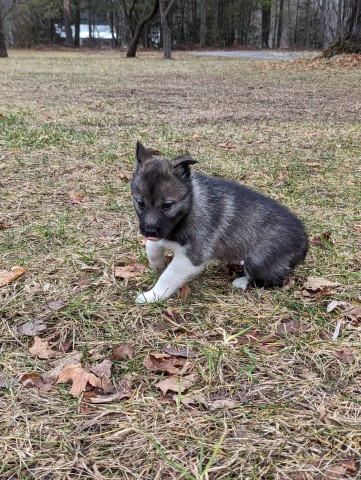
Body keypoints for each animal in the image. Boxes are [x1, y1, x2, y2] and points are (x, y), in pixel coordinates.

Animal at [131, 141, 308, 304]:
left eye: (167, 205)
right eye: (141, 203)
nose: (149, 231)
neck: (190, 206)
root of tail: (305, 241)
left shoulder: (192, 256)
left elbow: (169, 276)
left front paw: (153, 295)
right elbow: (152, 246)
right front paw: (158, 263)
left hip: (260, 259)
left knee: (274, 279)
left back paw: (243, 281)